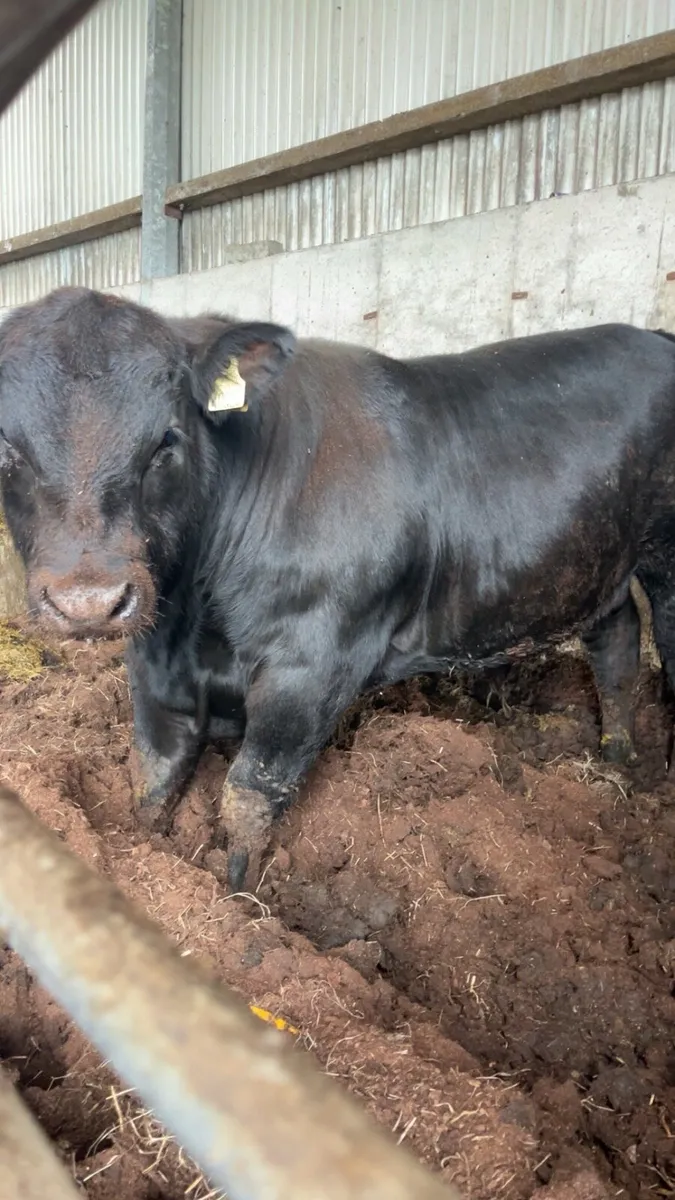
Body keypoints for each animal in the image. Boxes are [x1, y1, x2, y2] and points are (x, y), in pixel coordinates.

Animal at [2, 286, 675, 892]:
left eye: (167, 439)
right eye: (6, 447)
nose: (88, 601)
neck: (199, 618)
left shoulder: (313, 665)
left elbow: (251, 790)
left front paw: (237, 892)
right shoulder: (154, 658)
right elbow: (153, 773)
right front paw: (142, 854)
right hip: (595, 558)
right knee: (617, 641)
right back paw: (616, 753)